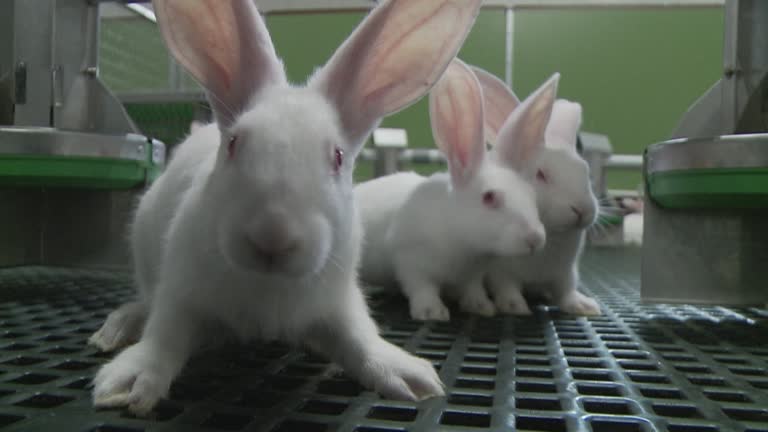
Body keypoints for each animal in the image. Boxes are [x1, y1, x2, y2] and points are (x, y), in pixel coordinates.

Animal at [88, 0, 483, 415]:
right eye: (234, 143)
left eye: (338, 157)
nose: (272, 235)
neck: (269, 285)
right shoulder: (180, 289)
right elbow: (166, 334)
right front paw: (128, 382)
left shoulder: (340, 301)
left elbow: (360, 338)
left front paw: (411, 377)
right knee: (145, 303)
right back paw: (116, 329)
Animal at [366, 59, 559, 322]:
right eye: (489, 197)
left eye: (532, 197)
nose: (535, 238)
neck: (465, 246)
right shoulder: (410, 261)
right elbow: (422, 288)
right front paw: (432, 312)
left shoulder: (473, 275)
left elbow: (473, 290)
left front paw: (482, 307)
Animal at [472, 67, 601, 316]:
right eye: (541, 174)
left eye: (584, 169)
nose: (582, 210)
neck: (552, 234)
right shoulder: (500, 271)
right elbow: (507, 287)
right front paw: (514, 307)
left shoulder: (565, 273)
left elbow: (566, 291)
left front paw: (584, 307)